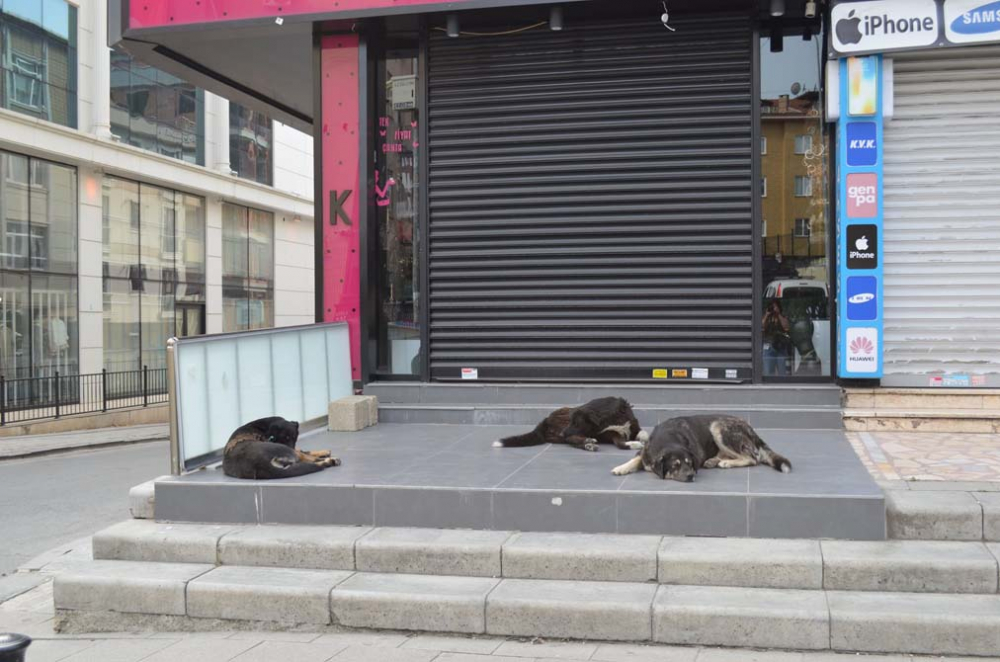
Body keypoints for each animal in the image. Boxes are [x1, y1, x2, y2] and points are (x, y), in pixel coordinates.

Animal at [494, 396, 648, 454]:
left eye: (576, 422)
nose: (562, 432)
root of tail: (545, 420)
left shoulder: (634, 426)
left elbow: (643, 433)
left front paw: (643, 440)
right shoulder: (609, 434)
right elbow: (620, 442)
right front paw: (633, 444)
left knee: (571, 439)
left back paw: (587, 443)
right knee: (570, 439)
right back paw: (588, 443)